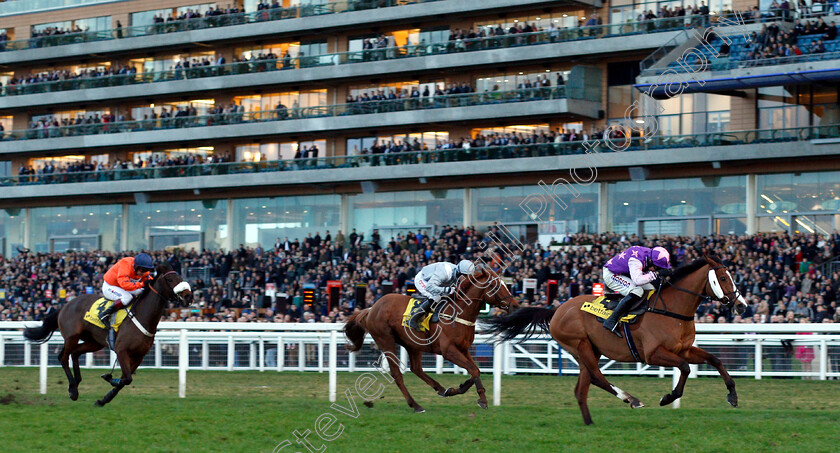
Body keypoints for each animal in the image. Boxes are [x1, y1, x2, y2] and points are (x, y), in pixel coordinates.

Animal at [23, 262, 195, 406]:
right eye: (171, 279)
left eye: (182, 277)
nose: (189, 296)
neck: (142, 316)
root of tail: (66, 305)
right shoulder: (121, 350)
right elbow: (127, 378)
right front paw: (110, 380)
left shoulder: (139, 356)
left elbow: (126, 380)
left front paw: (103, 399)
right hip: (72, 337)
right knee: (63, 357)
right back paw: (72, 389)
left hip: (94, 342)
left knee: (75, 354)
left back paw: (77, 382)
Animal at [342, 264, 520, 412]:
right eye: (495, 286)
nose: (515, 306)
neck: (458, 313)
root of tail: (372, 308)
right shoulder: (449, 351)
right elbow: (473, 369)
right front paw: (481, 400)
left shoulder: (463, 349)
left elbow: (475, 369)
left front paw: (461, 390)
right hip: (386, 342)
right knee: (397, 375)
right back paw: (415, 405)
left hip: (412, 344)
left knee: (416, 369)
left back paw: (441, 389)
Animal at [486, 254, 748, 424]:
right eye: (724, 279)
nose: (742, 306)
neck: (671, 310)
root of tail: (557, 310)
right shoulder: (653, 354)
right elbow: (684, 368)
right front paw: (668, 397)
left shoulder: (683, 349)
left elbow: (715, 359)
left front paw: (733, 396)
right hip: (580, 345)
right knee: (596, 377)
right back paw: (631, 399)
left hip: (589, 350)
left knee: (582, 388)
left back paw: (590, 423)